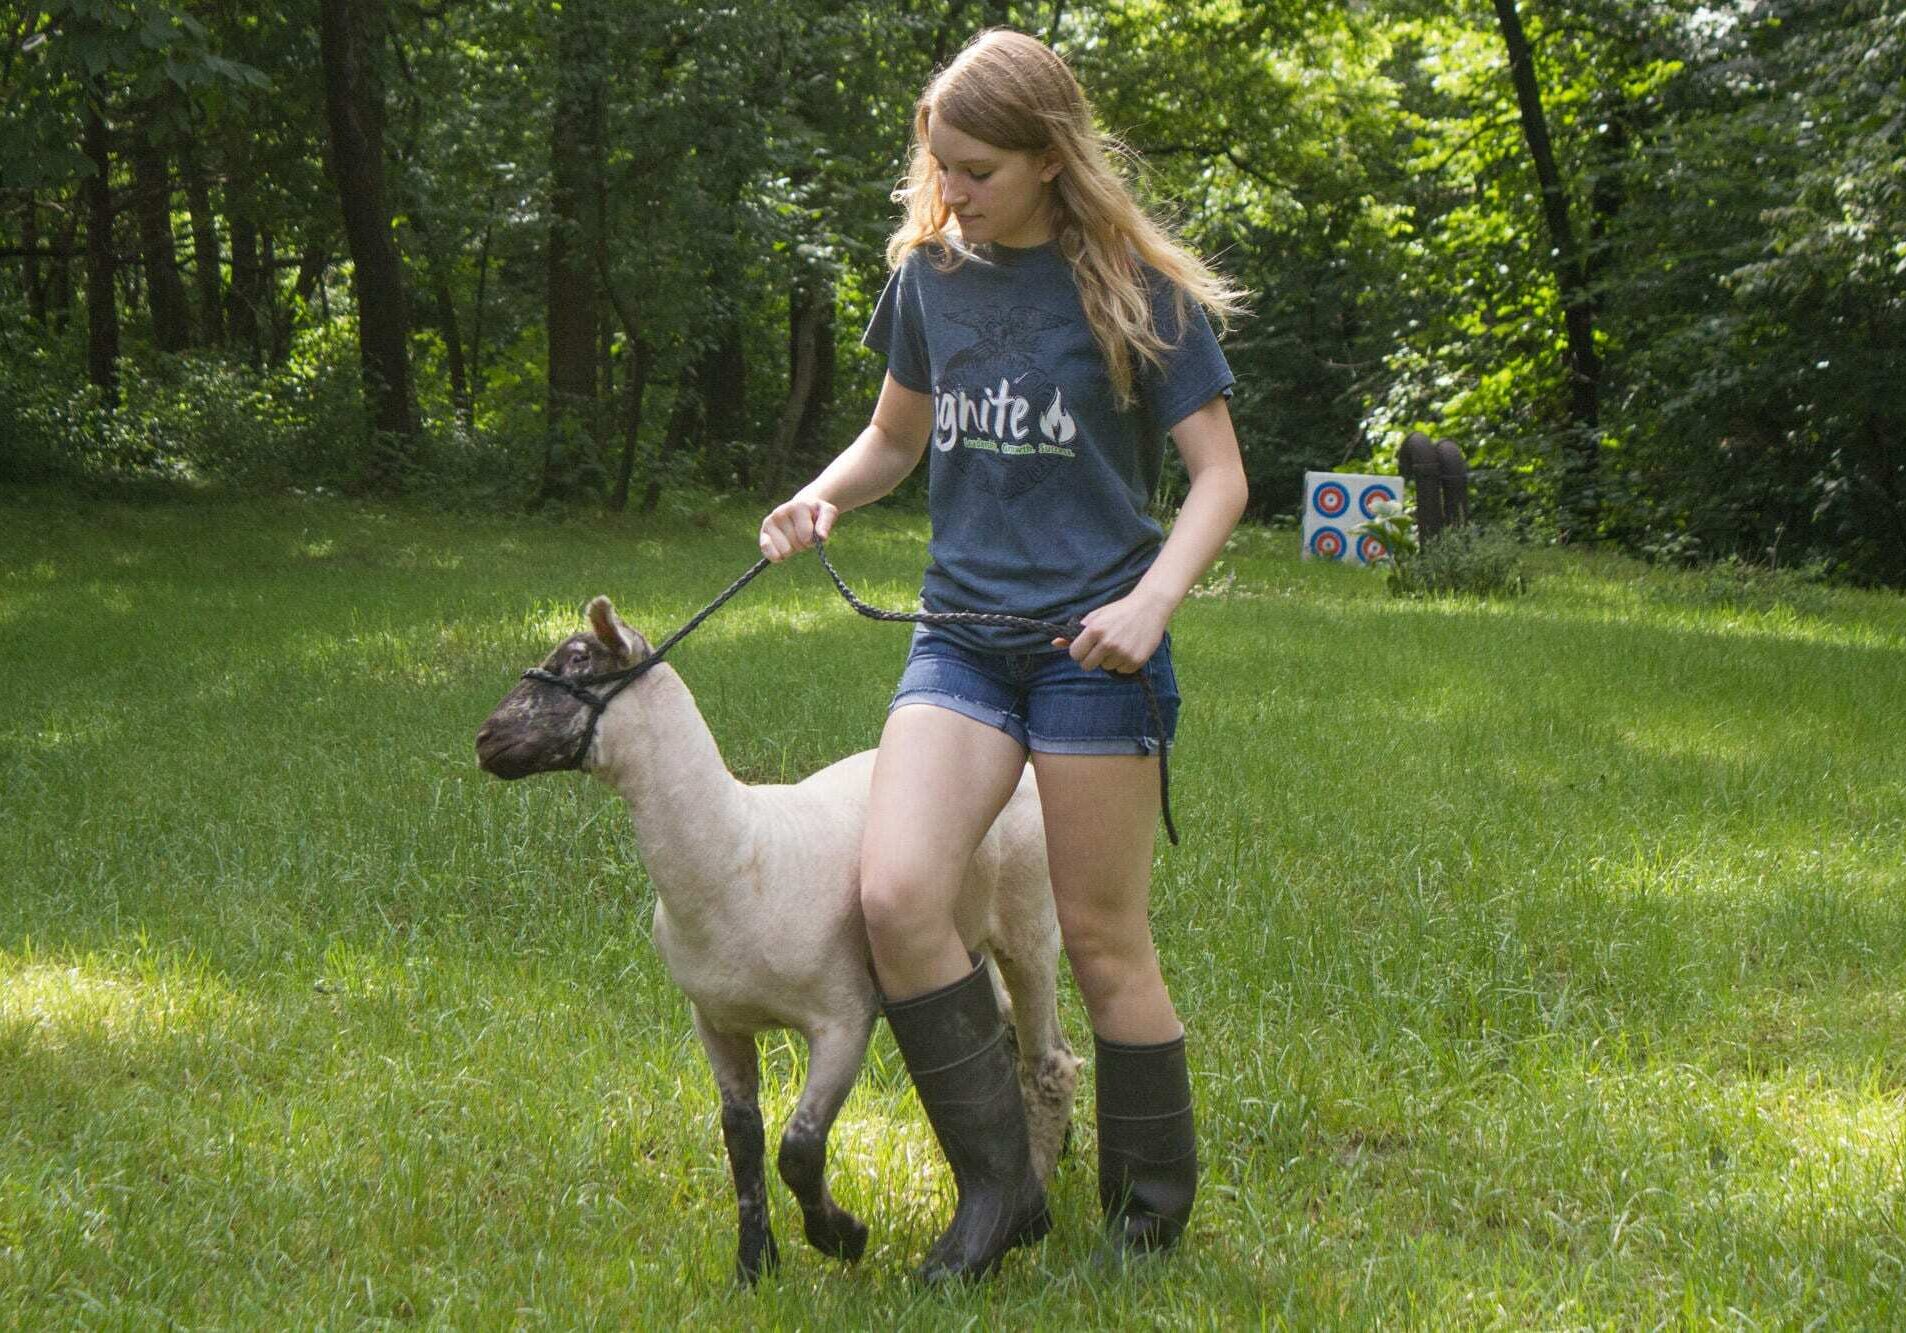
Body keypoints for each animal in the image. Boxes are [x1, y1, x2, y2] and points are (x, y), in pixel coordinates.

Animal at [474, 595, 1080, 1283]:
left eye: (578, 660)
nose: (485, 740)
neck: (738, 852)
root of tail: (1020, 768)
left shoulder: (843, 1018)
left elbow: (799, 1146)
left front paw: (842, 1236)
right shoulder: (715, 1021)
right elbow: (741, 1136)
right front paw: (753, 1265)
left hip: (1030, 921)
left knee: (1050, 1062)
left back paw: (1032, 1205)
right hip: (960, 930)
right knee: (1004, 1037)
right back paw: (1045, 1166)